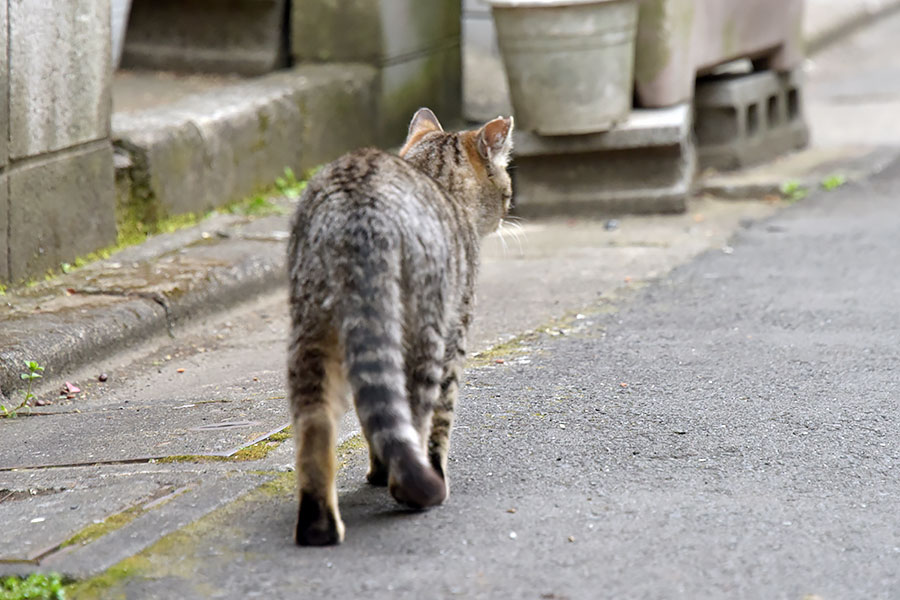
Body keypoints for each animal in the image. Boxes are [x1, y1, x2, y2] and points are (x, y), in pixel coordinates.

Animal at [288, 106, 512, 544]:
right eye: (507, 190)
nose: (509, 209)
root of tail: (358, 200)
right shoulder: (456, 333)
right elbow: (438, 422)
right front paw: (423, 469)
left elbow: (373, 415)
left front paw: (377, 469)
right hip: (426, 327)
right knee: (419, 412)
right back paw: (416, 487)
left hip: (312, 334)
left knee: (315, 428)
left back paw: (319, 527)